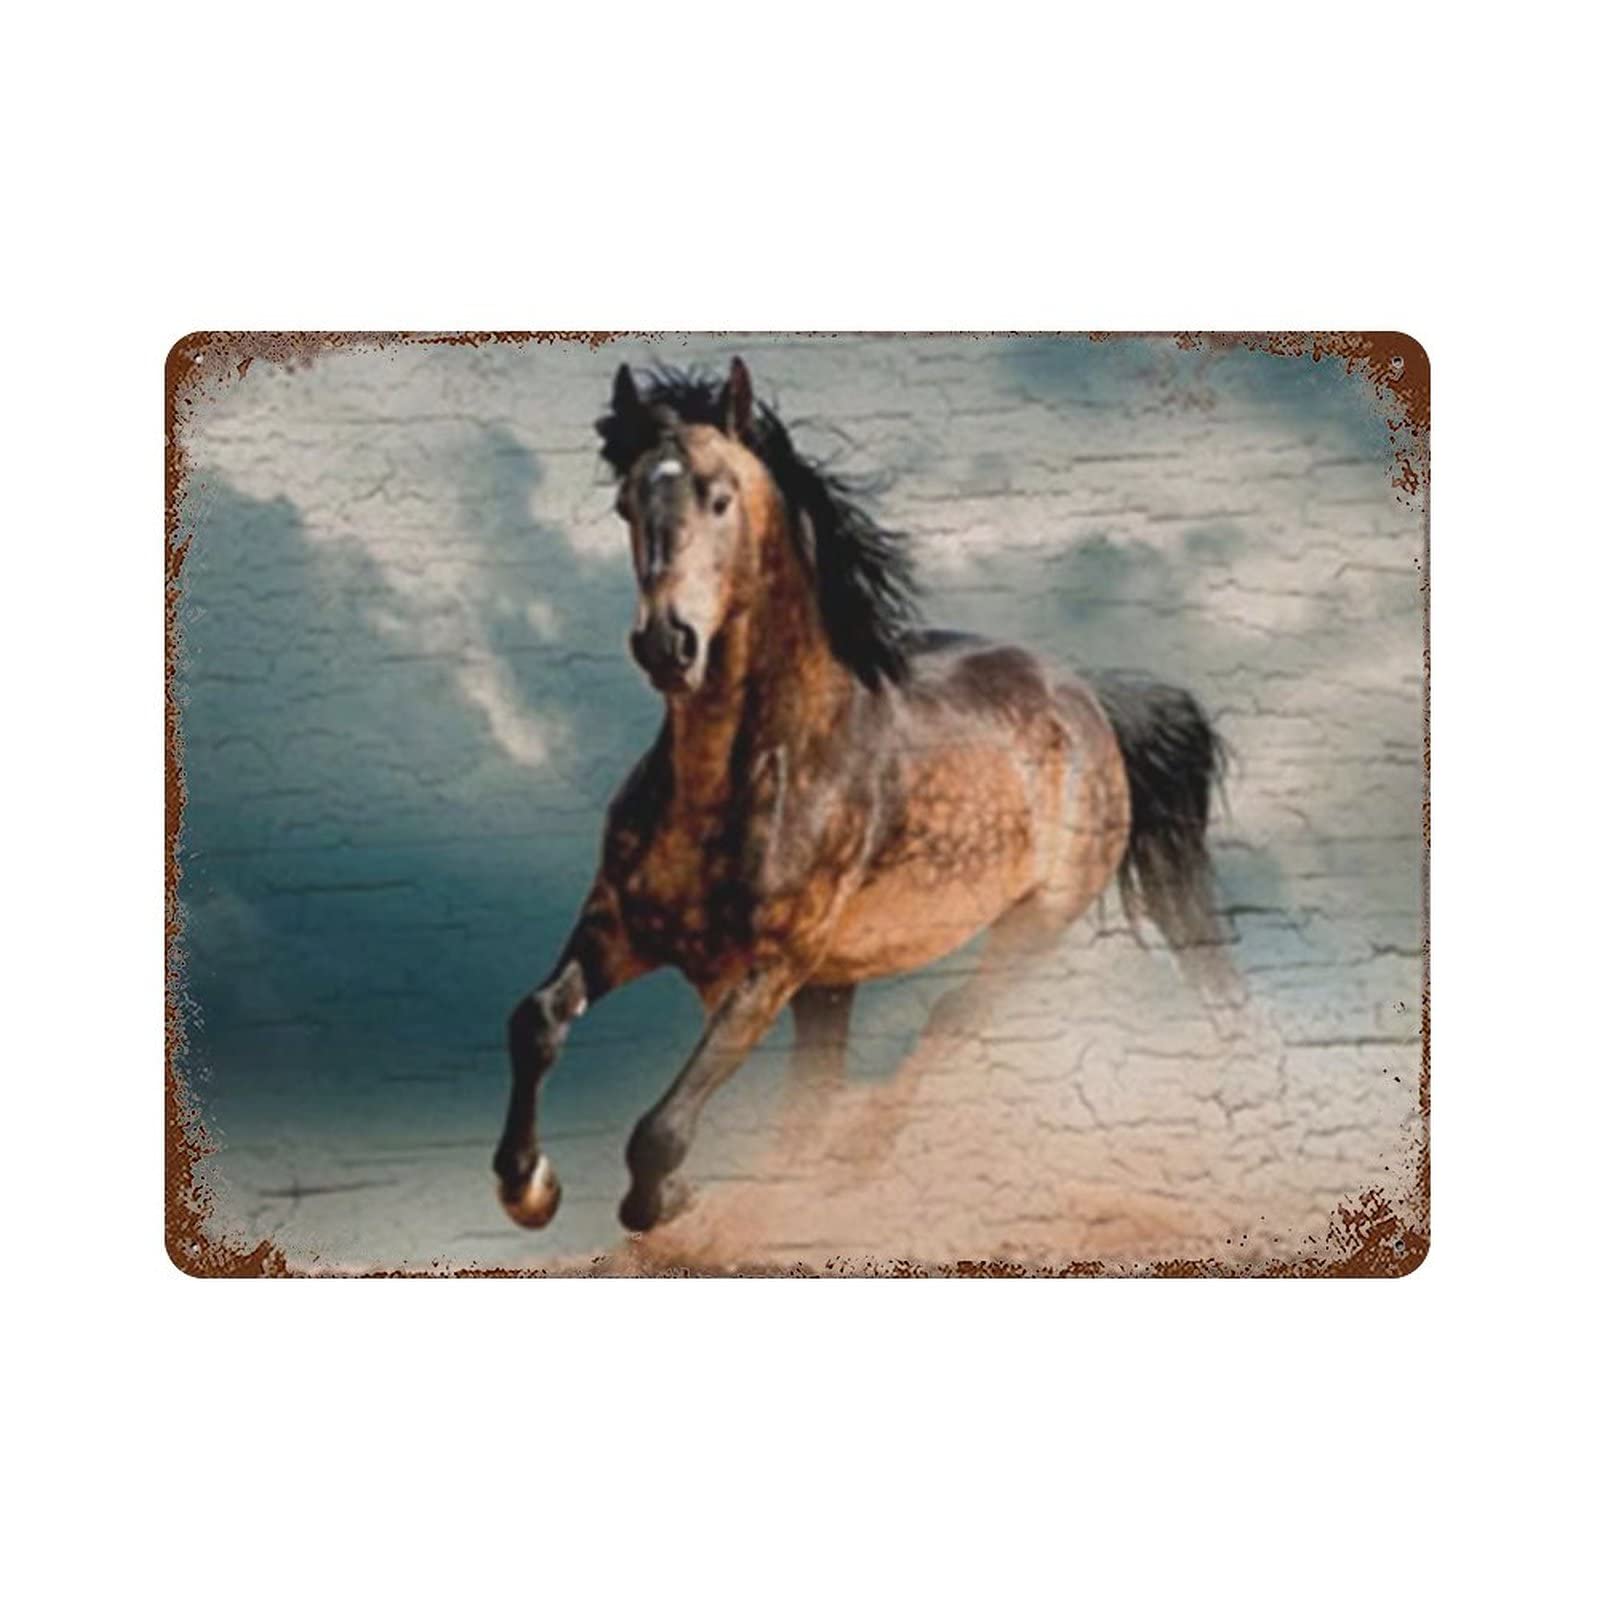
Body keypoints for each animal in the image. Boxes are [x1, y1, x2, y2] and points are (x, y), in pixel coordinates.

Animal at [493, 356, 1231, 1234]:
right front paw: (528, 1187)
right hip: (835, 985)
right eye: (626, 503)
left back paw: (858, 1156)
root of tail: (1087, 696)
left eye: (720, 496)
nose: (667, 643)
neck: (738, 778)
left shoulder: (771, 969)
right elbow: (536, 1018)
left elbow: (661, 1129)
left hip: (1031, 925)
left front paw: (663, 1200)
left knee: (944, 1025)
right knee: (817, 1095)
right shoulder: (621, 926)